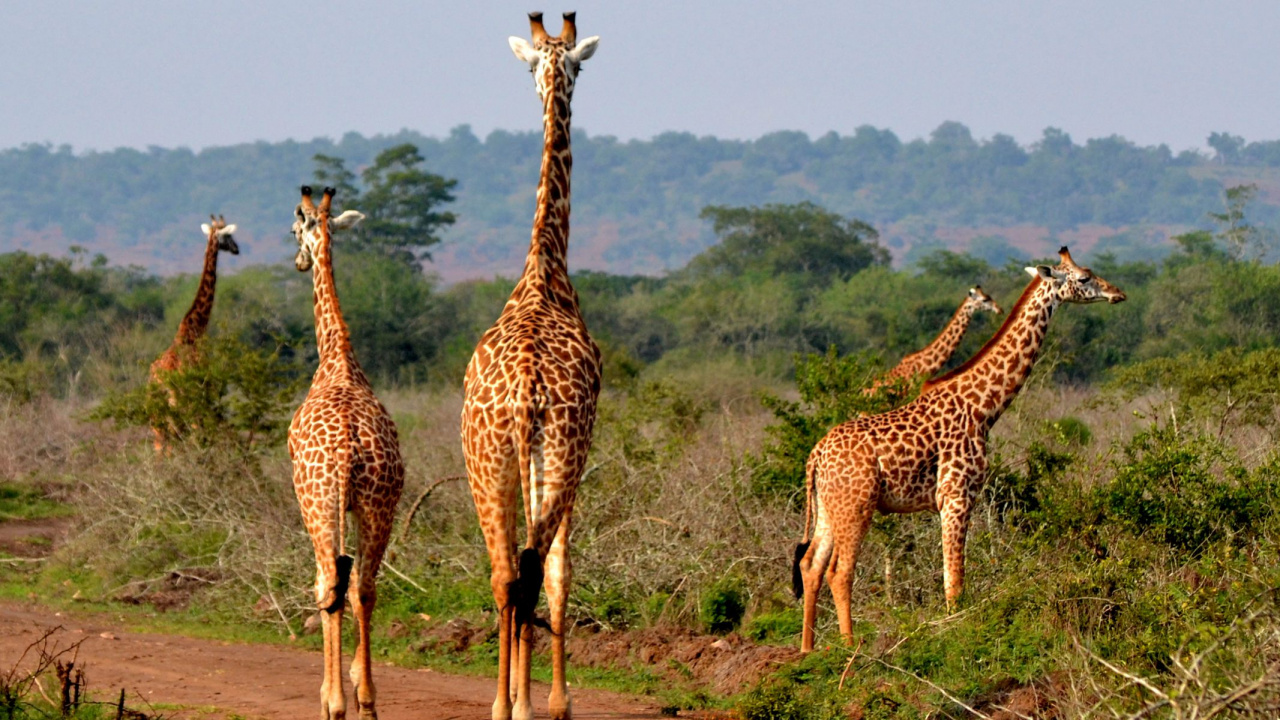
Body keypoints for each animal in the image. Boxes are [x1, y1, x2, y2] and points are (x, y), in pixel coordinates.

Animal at [148, 215, 238, 450]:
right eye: (229, 236)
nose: (237, 249)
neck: (193, 330)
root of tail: (158, 380)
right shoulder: (205, 388)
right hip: (180, 403)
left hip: (156, 408)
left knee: (160, 442)